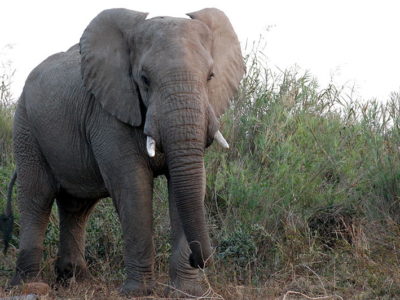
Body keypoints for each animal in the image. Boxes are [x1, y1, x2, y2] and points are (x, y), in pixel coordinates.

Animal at [5, 7, 244, 298]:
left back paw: (76, 281)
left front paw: (187, 291)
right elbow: (133, 187)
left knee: (77, 207)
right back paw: (27, 284)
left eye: (210, 76)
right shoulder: (108, 115)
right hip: (26, 127)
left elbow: (189, 185)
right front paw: (138, 291)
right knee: (36, 197)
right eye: (144, 79)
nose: (201, 260)